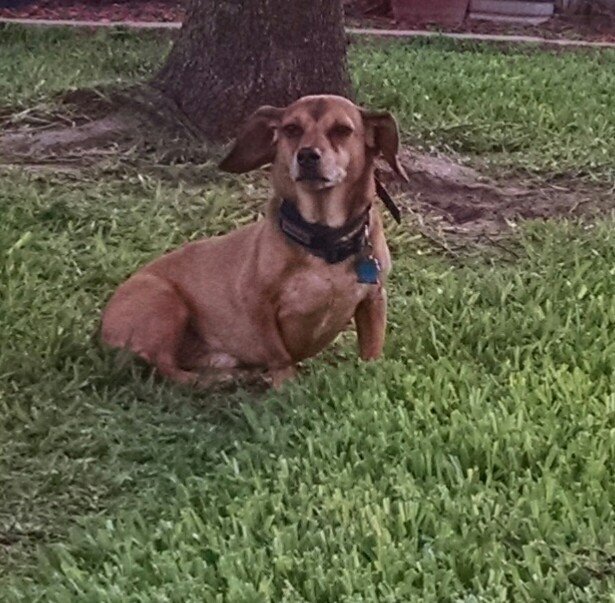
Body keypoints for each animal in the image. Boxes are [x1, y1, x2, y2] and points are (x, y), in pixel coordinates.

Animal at [101, 94, 410, 386]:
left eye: (342, 130)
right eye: (291, 129)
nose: (307, 155)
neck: (323, 239)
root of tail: (102, 327)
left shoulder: (374, 299)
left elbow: (371, 349)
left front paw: (371, 377)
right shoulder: (258, 306)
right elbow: (279, 355)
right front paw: (287, 387)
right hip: (165, 302)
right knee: (165, 366)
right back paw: (210, 381)